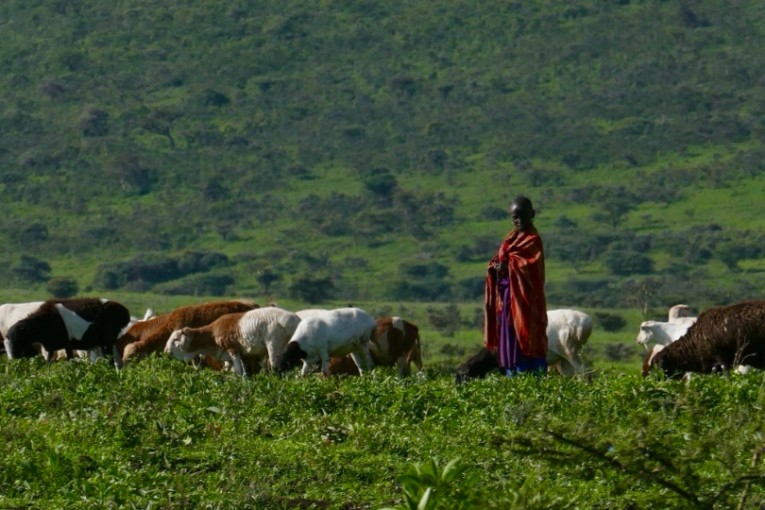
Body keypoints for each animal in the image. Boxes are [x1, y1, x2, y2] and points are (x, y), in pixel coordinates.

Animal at [165, 304, 302, 376]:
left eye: (175, 339)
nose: (166, 351)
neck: (212, 335)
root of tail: (296, 320)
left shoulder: (233, 350)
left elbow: (237, 371)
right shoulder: (232, 355)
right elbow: (232, 371)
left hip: (274, 345)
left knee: (276, 366)